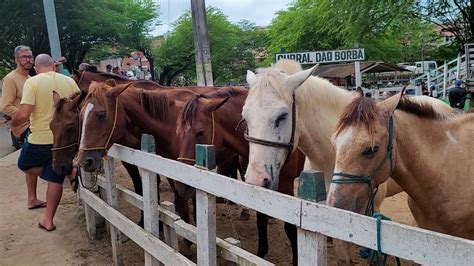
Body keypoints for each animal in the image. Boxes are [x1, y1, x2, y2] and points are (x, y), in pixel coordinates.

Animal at [176, 87, 306, 264]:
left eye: (200, 133)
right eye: (179, 132)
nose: (181, 185)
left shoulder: (286, 185)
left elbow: (290, 228)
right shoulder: (258, 182)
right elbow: (260, 219)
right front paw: (261, 253)